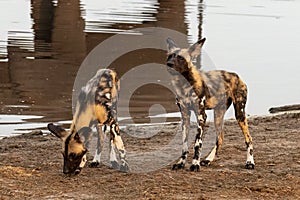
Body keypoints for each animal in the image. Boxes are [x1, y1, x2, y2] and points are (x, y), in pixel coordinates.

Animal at [166, 37, 255, 170]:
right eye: (169, 56)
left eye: (181, 58)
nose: (169, 64)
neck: (183, 86)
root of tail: (236, 76)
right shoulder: (185, 116)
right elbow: (184, 144)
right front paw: (181, 163)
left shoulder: (201, 116)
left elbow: (197, 143)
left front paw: (195, 164)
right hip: (218, 115)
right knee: (220, 138)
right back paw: (208, 159)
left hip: (240, 114)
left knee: (248, 139)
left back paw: (250, 162)